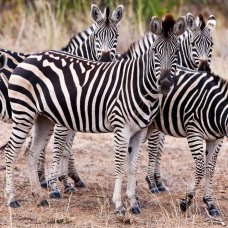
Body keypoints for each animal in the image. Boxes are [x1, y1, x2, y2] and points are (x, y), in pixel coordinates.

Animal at [4, 14, 187, 216]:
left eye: (176, 52)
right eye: (155, 51)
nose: (165, 84)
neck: (139, 86)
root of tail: (29, 58)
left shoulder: (140, 131)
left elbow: (132, 167)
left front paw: (134, 204)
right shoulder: (121, 129)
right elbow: (119, 166)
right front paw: (119, 205)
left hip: (43, 118)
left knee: (31, 153)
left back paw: (39, 196)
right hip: (24, 113)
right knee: (11, 151)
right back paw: (12, 199)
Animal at [145, 13, 216, 196]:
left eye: (211, 45)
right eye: (193, 44)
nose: (204, 69)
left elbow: (160, 147)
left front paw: (157, 181)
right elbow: (155, 147)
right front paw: (152, 183)